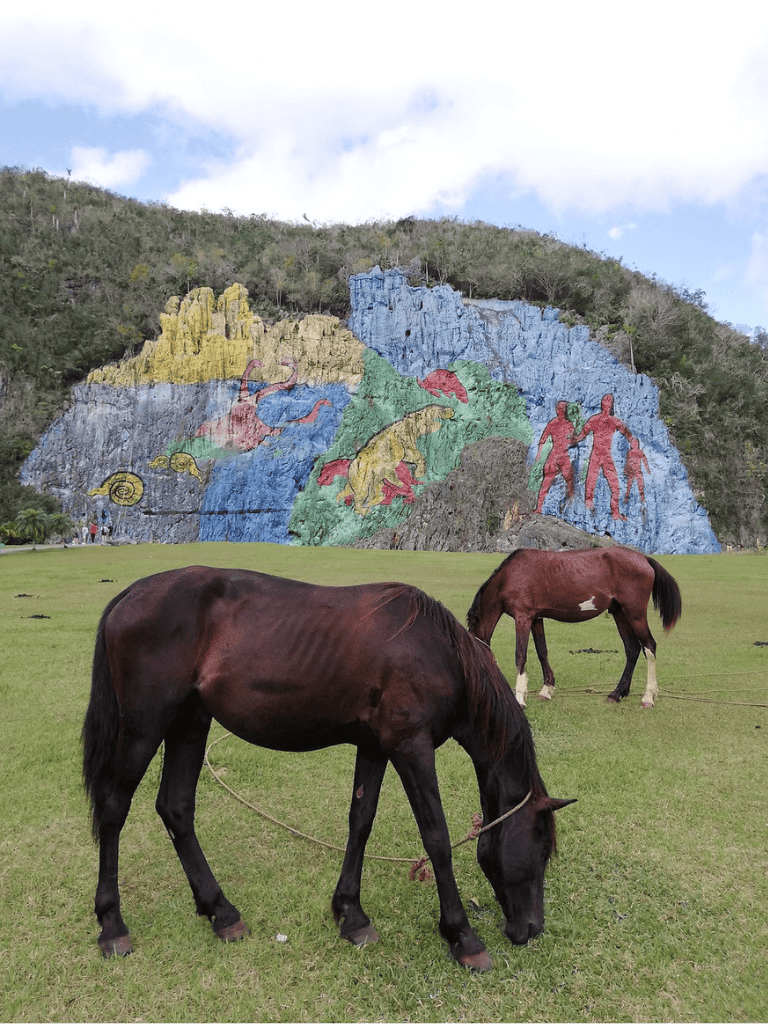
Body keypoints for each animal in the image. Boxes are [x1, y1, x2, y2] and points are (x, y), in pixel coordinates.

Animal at [82, 566, 574, 972]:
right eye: (540, 848)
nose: (531, 929)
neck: (437, 653)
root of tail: (132, 593)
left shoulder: (375, 747)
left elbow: (361, 822)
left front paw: (351, 915)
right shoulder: (411, 748)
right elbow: (436, 839)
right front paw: (462, 936)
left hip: (189, 722)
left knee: (176, 809)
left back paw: (220, 912)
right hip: (146, 726)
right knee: (113, 808)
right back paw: (113, 925)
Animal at [467, 546, 682, 708]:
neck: (510, 576)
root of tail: (644, 559)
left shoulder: (523, 617)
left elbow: (521, 655)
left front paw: (519, 698)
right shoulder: (536, 619)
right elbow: (542, 652)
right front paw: (546, 690)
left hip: (634, 614)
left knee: (649, 647)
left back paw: (648, 696)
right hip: (620, 613)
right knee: (632, 649)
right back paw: (617, 693)